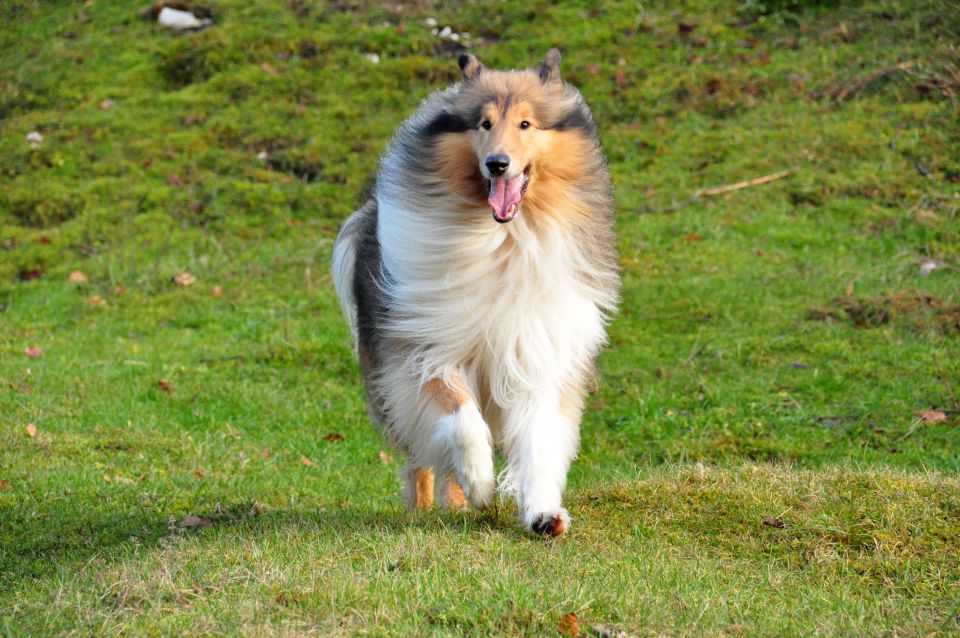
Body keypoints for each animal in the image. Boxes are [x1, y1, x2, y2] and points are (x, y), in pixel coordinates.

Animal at [330, 50, 620, 536]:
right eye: (483, 123)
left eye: (526, 123)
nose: (497, 164)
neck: (503, 238)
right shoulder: (424, 350)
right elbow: (462, 422)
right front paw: (481, 483)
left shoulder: (537, 350)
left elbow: (539, 439)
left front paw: (542, 512)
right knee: (422, 457)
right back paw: (434, 506)